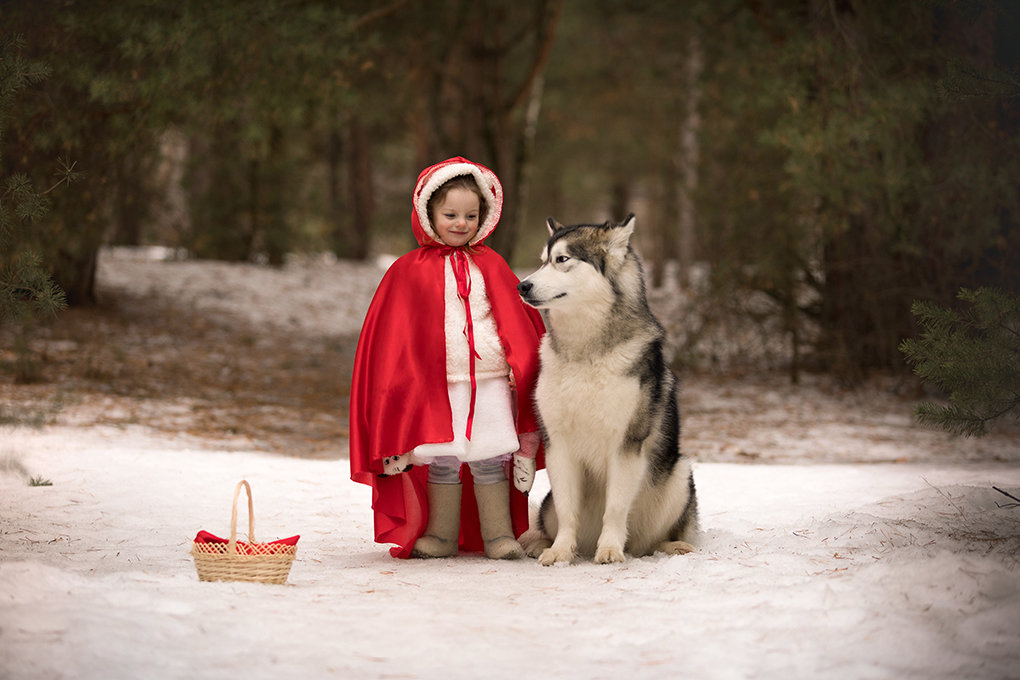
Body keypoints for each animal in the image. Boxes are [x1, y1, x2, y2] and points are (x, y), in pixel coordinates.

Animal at [514, 217, 697, 562]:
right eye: (542, 260)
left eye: (562, 259)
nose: (522, 286)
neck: (585, 352)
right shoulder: (558, 444)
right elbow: (568, 509)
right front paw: (560, 552)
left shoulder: (625, 444)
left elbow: (614, 508)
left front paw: (610, 549)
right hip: (548, 506)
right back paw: (541, 544)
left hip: (678, 475)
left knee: (654, 539)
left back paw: (671, 546)